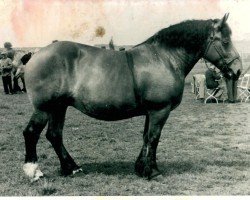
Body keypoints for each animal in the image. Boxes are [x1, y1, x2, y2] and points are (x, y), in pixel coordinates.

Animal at [22, 14, 241, 181]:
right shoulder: (160, 110)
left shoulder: (151, 112)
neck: (164, 58)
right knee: (31, 133)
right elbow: (153, 138)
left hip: (59, 107)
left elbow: (146, 137)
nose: (238, 70)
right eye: (225, 41)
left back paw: (72, 168)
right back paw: (34, 172)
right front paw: (152, 171)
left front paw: (141, 168)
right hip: (44, 108)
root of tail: (34, 55)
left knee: (54, 135)